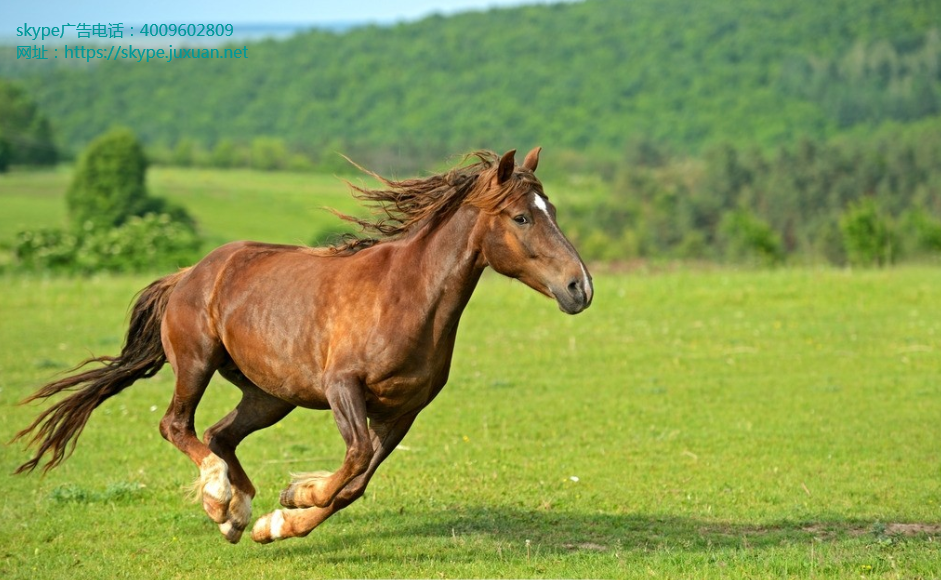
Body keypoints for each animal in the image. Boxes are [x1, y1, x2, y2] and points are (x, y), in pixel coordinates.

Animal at [11, 146, 592, 544]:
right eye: (522, 216)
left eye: (551, 209)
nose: (580, 288)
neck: (407, 297)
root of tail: (188, 274)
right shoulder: (343, 388)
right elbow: (353, 461)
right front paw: (294, 497)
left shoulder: (403, 411)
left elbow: (356, 483)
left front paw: (277, 520)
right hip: (197, 363)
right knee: (177, 425)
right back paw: (219, 498)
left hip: (270, 395)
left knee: (220, 435)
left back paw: (237, 515)